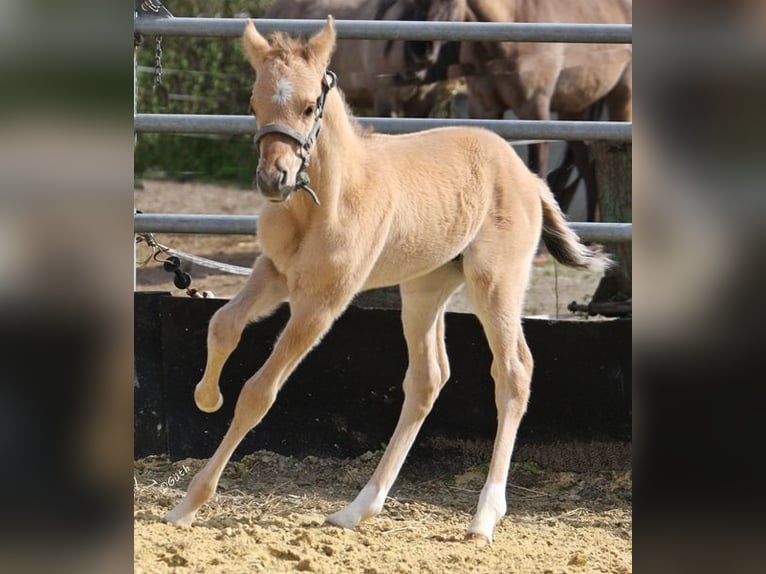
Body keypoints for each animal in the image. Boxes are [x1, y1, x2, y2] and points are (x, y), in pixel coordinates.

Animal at [166, 16, 612, 544]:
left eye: (310, 105)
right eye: (253, 105)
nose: (273, 179)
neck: (324, 200)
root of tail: (528, 178)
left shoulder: (322, 301)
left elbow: (260, 392)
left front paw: (188, 503)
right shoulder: (274, 271)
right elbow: (222, 324)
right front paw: (206, 397)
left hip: (495, 283)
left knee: (514, 371)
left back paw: (484, 517)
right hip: (424, 288)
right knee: (428, 379)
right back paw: (357, 509)